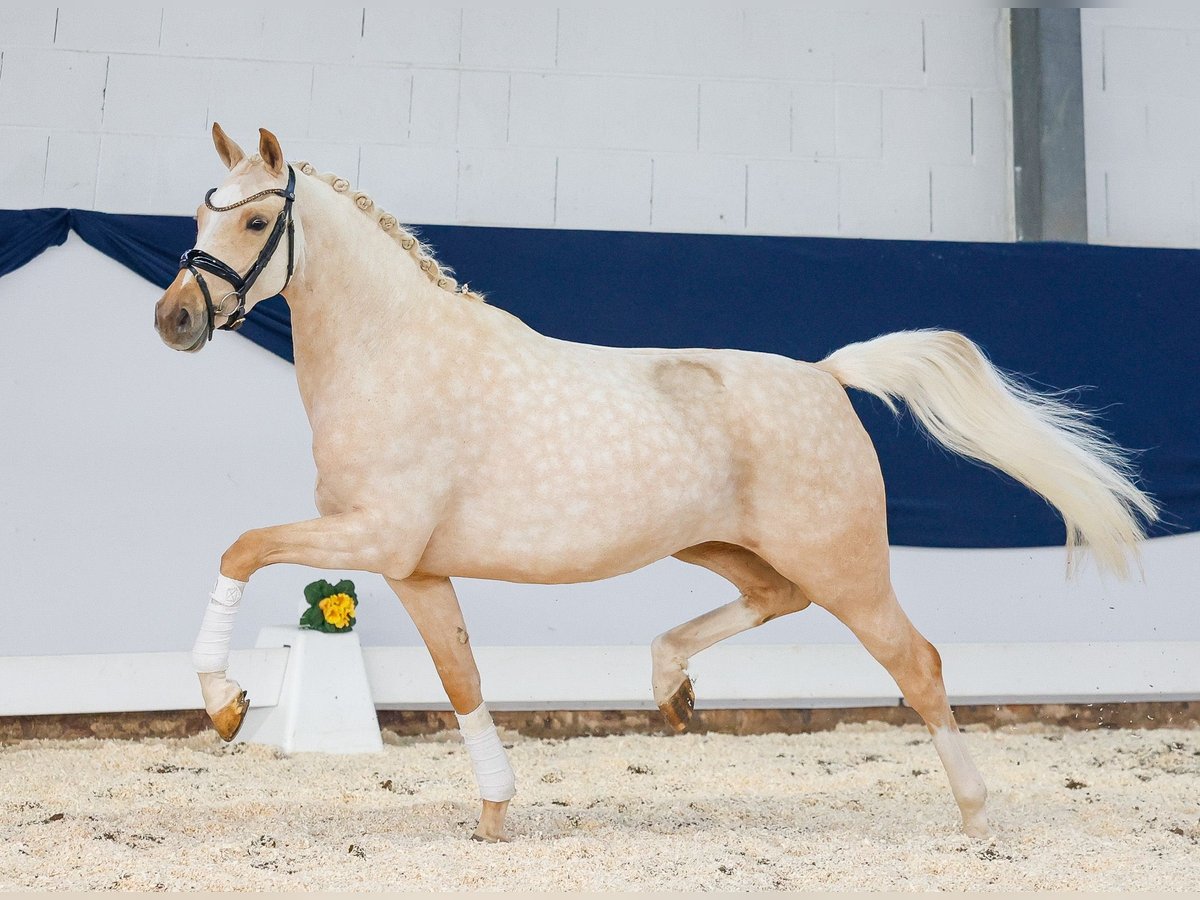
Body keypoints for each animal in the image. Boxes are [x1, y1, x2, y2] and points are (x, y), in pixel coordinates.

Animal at [150, 125, 1152, 844]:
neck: (396, 357)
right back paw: (670, 686)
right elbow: (461, 678)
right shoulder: (417, 568)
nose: (174, 320)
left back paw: (978, 819)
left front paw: (226, 704)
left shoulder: (375, 537)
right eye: (197, 217)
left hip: (847, 566)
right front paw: (496, 814)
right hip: (726, 546)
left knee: (919, 663)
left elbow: (241, 546)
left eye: (253, 222)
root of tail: (827, 376)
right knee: (774, 601)